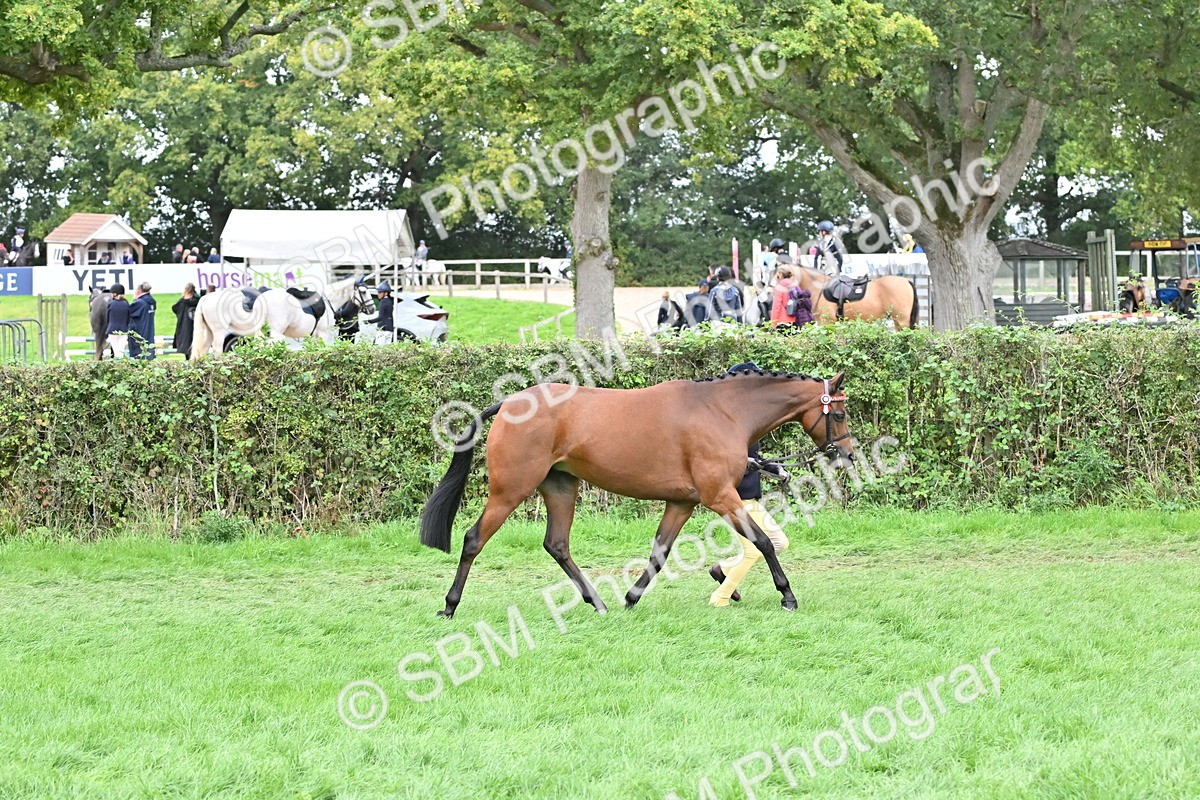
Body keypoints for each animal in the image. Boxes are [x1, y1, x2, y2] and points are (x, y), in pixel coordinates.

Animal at [190, 276, 365, 357]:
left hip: (209, 332)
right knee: (218, 350)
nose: (369, 308)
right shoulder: (321, 333)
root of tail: (206, 298)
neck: (327, 302)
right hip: (220, 331)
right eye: (363, 291)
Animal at [420, 369, 853, 618]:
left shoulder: (682, 502)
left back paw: (598, 603)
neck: (722, 411)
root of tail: (510, 403)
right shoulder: (719, 496)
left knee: (557, 544)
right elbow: (762, 542)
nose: (847, 454)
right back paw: (449, 606)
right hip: (510, 491)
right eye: (840, 413)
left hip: (560, 487)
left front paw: (631, 598)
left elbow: (659, 554)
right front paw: (788, 597)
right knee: (474, 539)